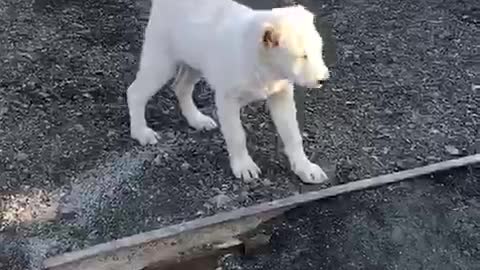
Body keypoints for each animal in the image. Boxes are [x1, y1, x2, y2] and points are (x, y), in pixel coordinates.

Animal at [126, 0, 330, 184]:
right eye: (302, 56)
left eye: (318, 50)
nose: (324, 79)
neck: (263, 64)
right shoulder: (227, 101)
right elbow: (237, 135)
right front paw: (244, 166)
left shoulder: (281, 95)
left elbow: (292, 134)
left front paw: (305, 168)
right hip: (161, 61)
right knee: (135, 92)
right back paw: (141, 132)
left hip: (195, 63)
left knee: (181, 86)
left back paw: (196, 119)